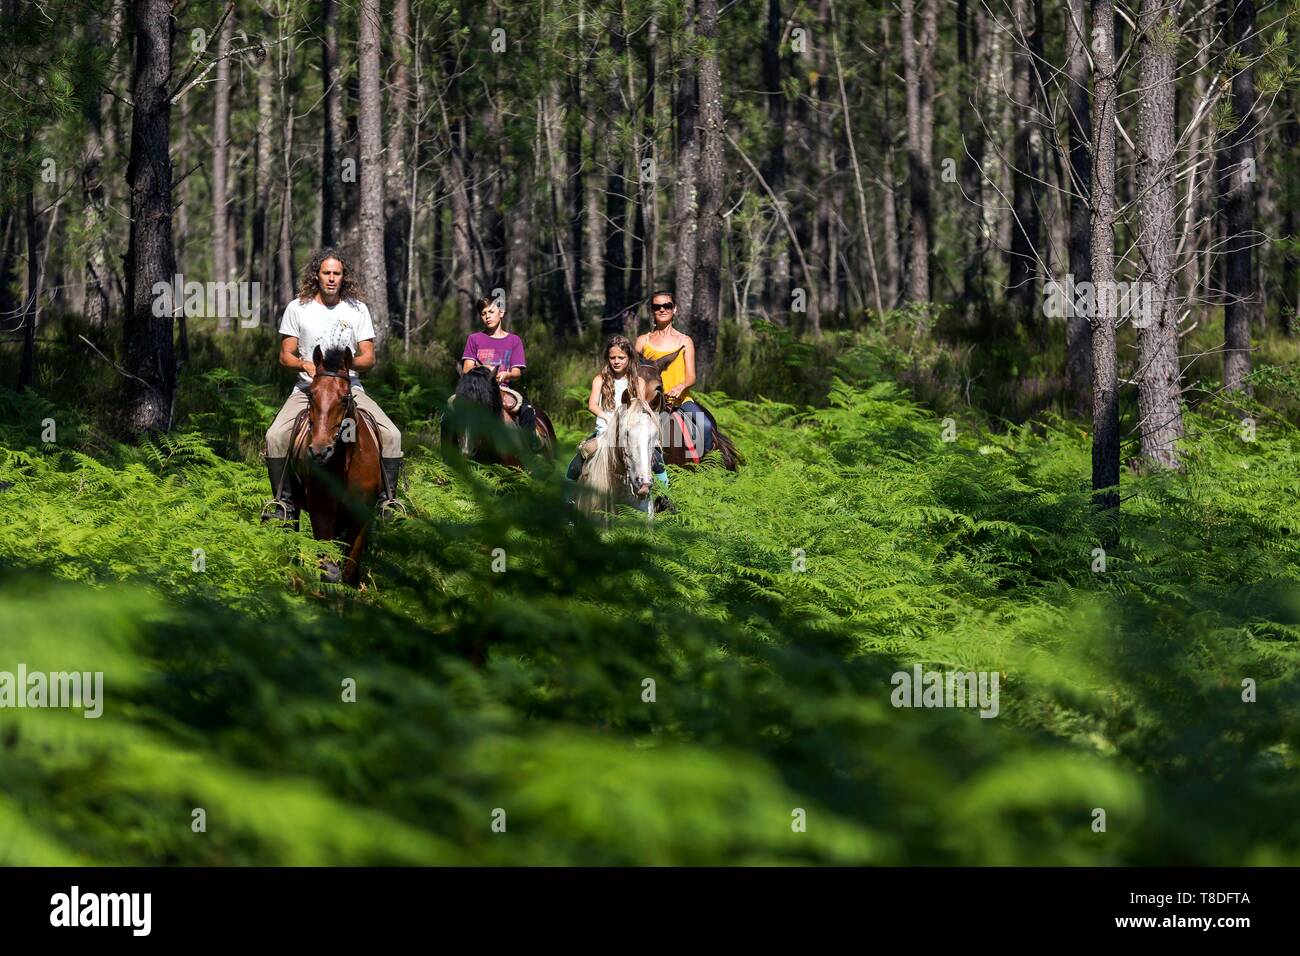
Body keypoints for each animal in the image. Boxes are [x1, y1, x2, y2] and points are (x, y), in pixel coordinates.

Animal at [297, 343, 387, 582]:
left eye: (345, 398)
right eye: (311, 395)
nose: (320, 451)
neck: (346, 464)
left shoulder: (362, 516)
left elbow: (349, 570)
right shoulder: (321, 512)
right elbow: (328, 568)